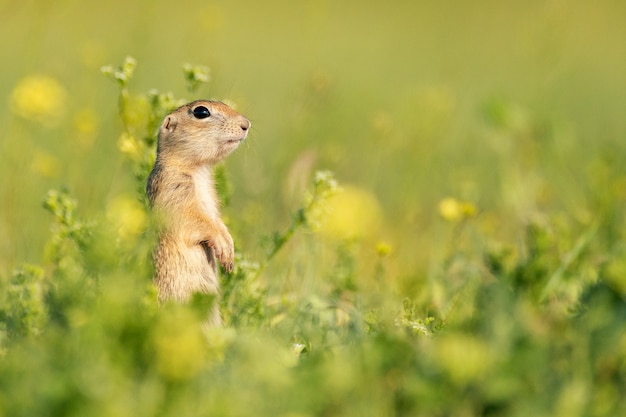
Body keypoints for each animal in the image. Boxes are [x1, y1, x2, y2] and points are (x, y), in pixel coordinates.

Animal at [147, 99, 250, 324]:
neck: (199, 170)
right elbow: (198, 221)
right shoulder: (175, 192)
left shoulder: (211, 200)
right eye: (201, 112)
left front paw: (229, 247)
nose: (246, 124)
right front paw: (224, 249)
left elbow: (216, 220)